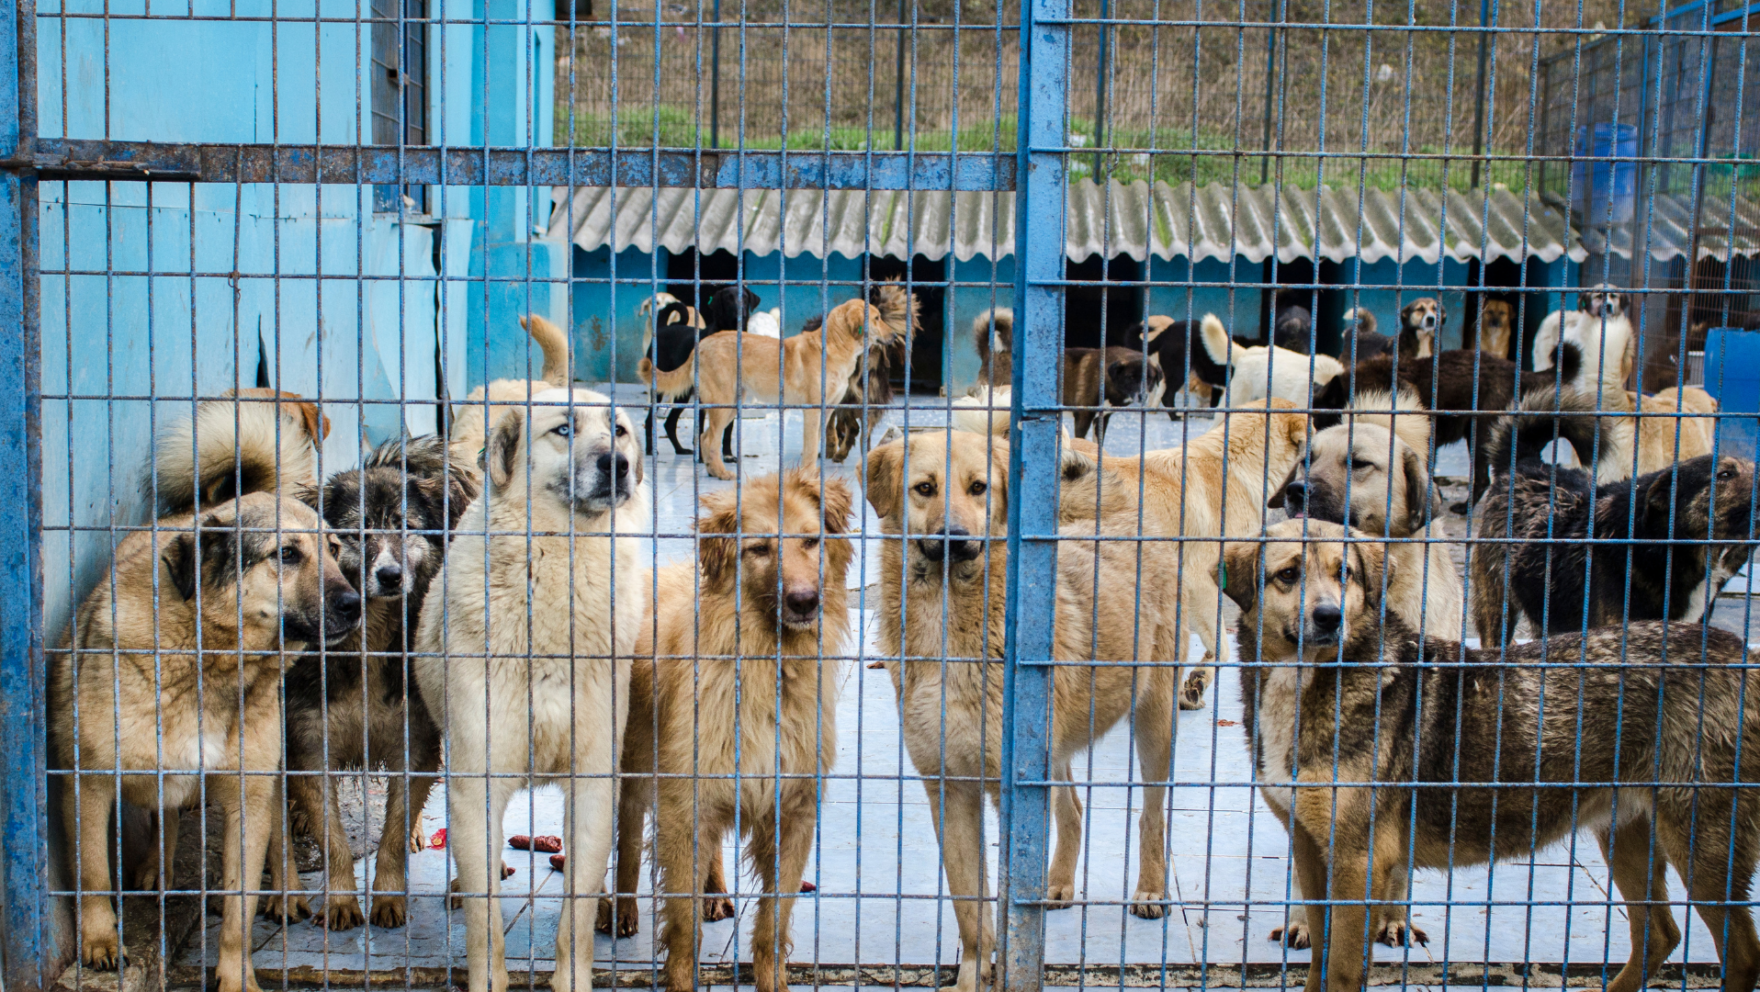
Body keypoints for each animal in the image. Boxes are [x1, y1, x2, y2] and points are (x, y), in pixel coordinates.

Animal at [415, 385, 651, 992]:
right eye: (564, 430)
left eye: (618, 431)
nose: (616, 465)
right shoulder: (477, 777)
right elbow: (484, 920)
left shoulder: (593, 779)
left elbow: (577, 911)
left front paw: (572, 976)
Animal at [651, 283, 922, 481]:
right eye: (876, 318)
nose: (894, 336)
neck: (836, 346)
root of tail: (702, 343)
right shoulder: (812, 411)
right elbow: (811, 447)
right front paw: (808, 475)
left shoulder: (827, 411)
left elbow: (821, 441)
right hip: (723, 403)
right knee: (709, 438)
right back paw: (721, 473)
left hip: (732, 404)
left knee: (707, 436)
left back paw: (711, 470)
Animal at [862, 430, 1182, 992]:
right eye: (924, 488)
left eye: (979, 487)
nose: (953, 537)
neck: (948, 624)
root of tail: (1121, 515)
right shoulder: (949, 790)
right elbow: (970, 908)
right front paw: (973, 974)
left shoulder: (1009, 792)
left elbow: (1006, 899)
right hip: (1051, 748)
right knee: (1072, 809)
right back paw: (1056, 885)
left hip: (1154, 721)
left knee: (1151, 812)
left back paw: (1150, 889)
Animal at [1224, 520, 1760, 992]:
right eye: (1288, 574)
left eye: (1345, 574)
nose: (1329, 617)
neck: (1308, 683)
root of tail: (1741, 651)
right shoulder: (1311, 846)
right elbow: (1318, 958)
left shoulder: (1358, 861)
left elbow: (1338, 969)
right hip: (1626, 832)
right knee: (1660, 934)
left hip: (1702, 845)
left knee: (1740, 953)